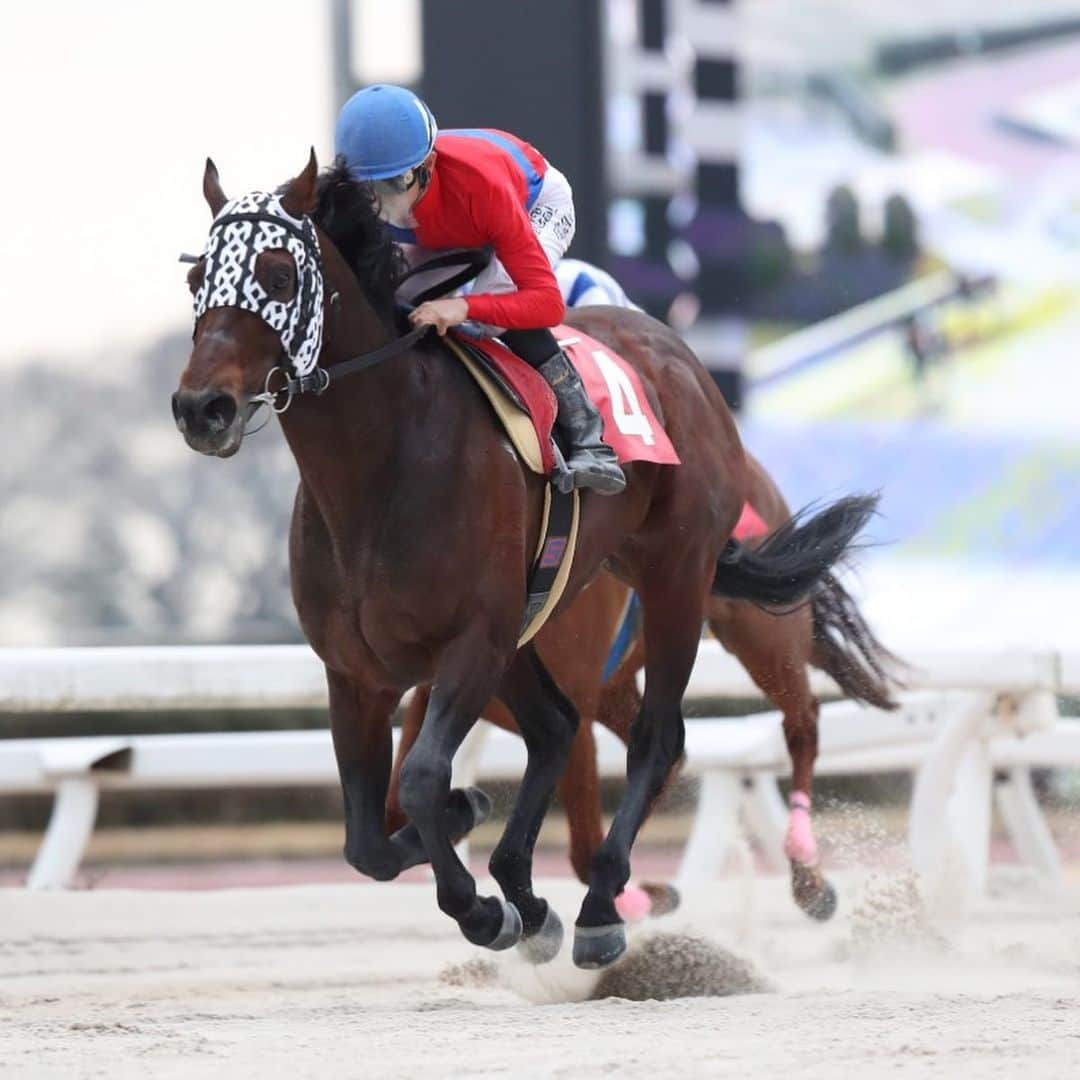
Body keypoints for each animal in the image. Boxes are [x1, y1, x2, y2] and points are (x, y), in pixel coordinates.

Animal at [393, 455, 898, 920]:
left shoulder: (571, 710)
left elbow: (580, 839)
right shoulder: (442, 694)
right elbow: (402, 800)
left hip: (763, 633)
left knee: (802, 721)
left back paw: (806, 873)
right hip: (624, 683)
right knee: (672, 755)